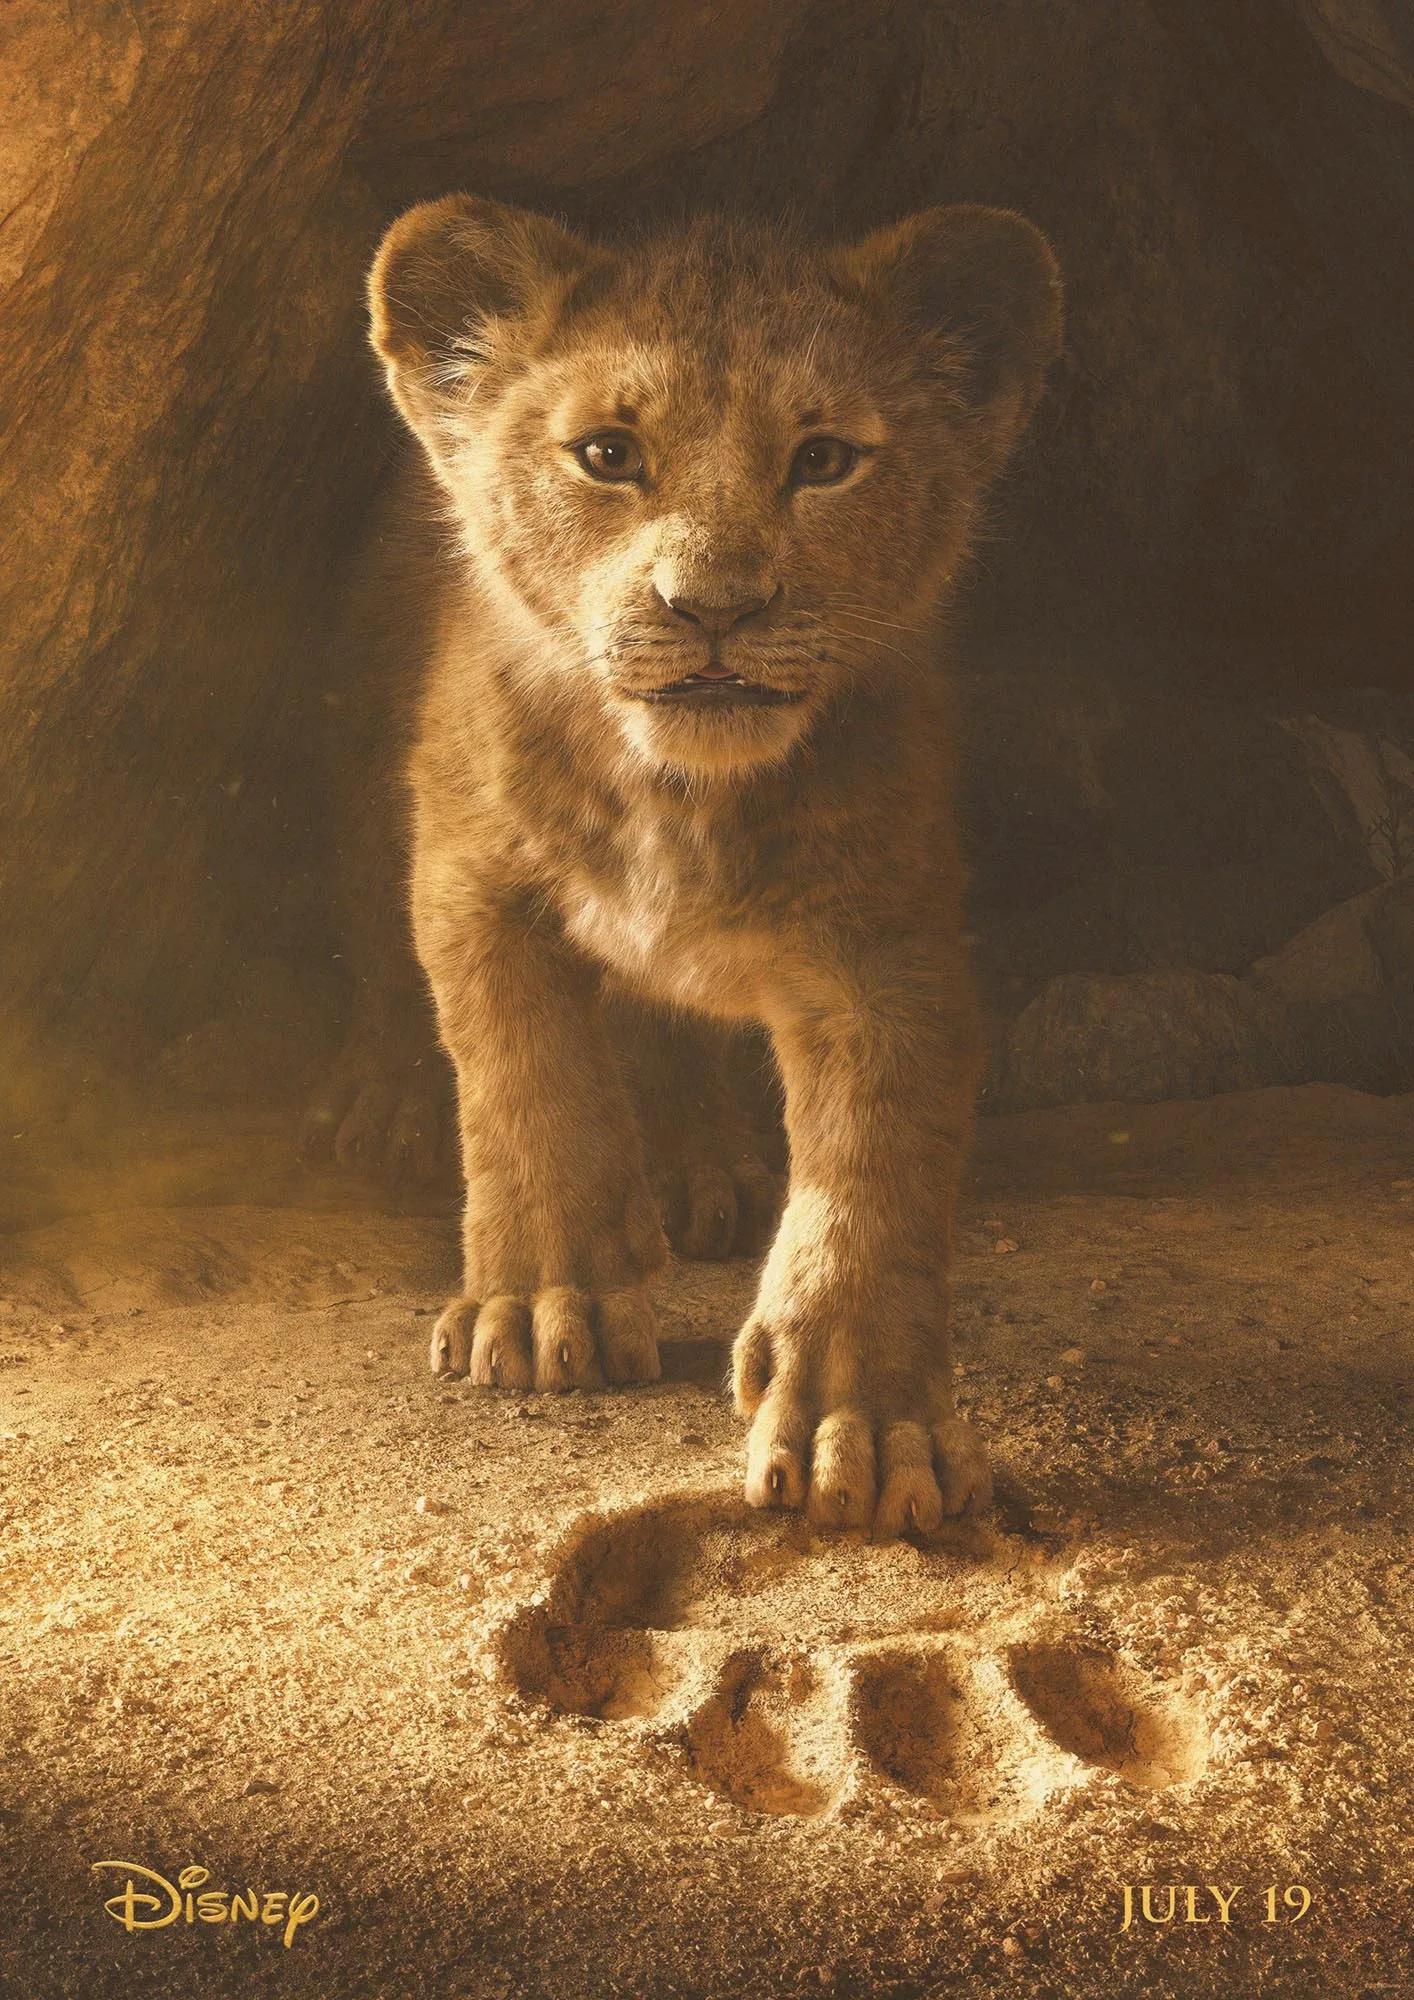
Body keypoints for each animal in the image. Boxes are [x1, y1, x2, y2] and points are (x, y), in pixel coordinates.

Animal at [341, 194, 1061, 1536]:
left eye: (823, 460)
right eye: (607, 454)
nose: (712, 607)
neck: (678, 794)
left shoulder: (885, 945)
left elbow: (873, 1169)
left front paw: (860, 1421)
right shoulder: (473, 875)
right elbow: (526, 1081)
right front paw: (543, 1305)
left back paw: (699, 1166)